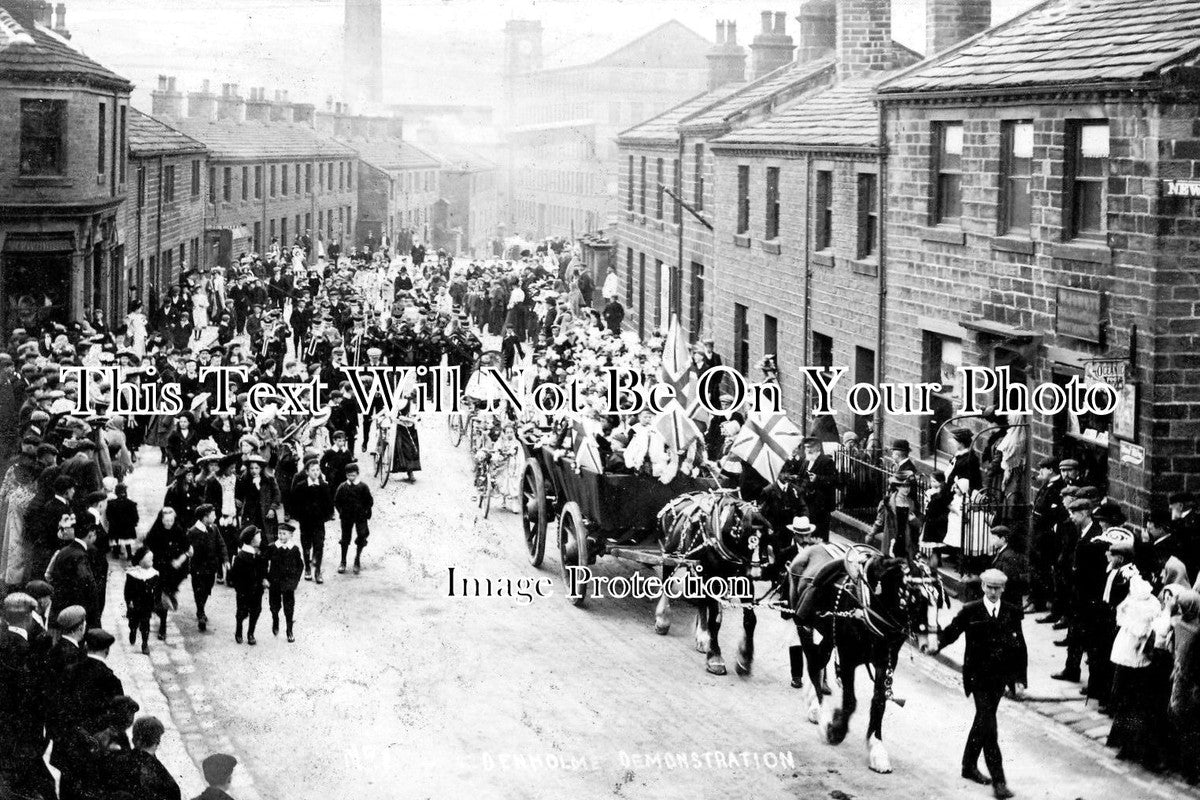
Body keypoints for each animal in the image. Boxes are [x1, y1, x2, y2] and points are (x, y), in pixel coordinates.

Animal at [657, 491, 777, 681]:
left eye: (768, 536)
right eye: (744, 534)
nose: (757, 573)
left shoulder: (743, 580)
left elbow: (750, 620)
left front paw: (744, 658)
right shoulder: (713, 578)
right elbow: (716, 619)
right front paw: (715, 658)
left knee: (699, 599)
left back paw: (702, 635)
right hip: (671, 554)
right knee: (667, 583)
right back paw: (662, 619)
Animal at [792, 544, 940, 777]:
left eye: (939, 601)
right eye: (918, 599)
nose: (932, 646)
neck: (872, 605)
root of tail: (810, 547)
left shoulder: (885, 661)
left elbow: (879, 702)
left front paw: (876, 748)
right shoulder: (847, 657)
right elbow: (850, 701)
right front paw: (835, 729)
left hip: (829, 635)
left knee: (820, 659)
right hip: (804, 625)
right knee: (814, 665)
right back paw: (819, 710)